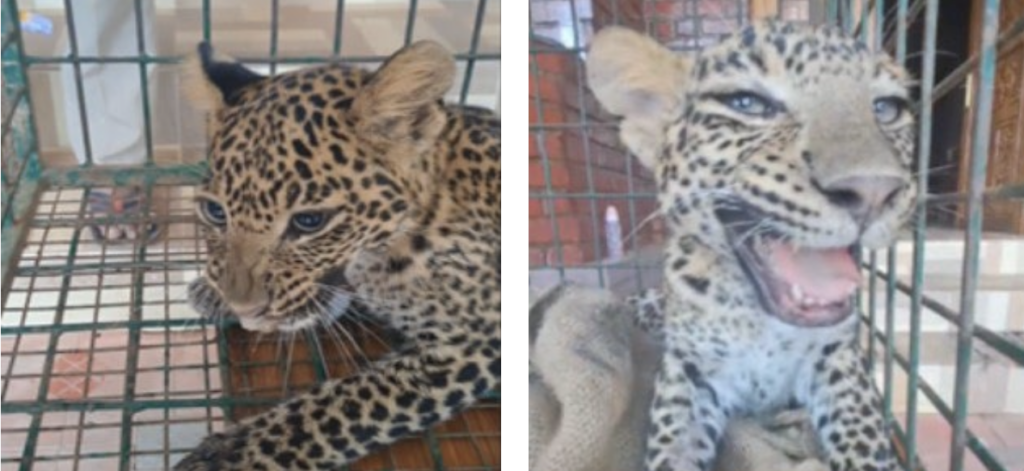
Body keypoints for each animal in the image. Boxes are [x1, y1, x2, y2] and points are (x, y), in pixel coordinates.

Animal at [172, 40, 500, 470]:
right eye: (215, 212)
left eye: (309, 222)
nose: (244, 309)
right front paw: (211, 290)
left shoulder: (472, 340)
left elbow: (346, 404)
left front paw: (227, 455)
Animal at [587, 21, 916, 471]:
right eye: (747, 103)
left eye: (886, 108)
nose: (874, 190)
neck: (762, 322)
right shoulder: (690, 370)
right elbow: (672, 445)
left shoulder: (838, 358)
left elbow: (866, 441)